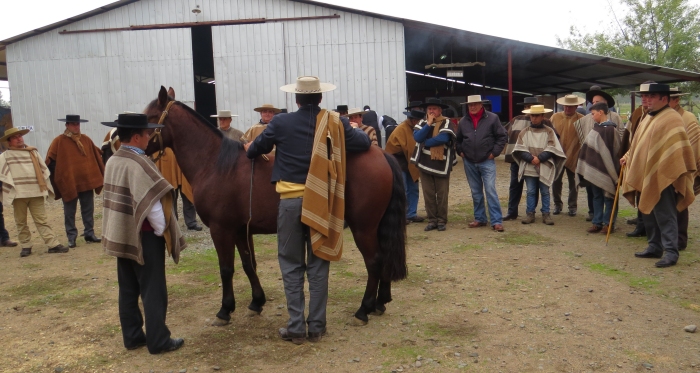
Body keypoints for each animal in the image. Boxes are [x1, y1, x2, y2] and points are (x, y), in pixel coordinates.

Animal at [146, 85, 410, 324]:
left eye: (149, 117)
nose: (134, 144)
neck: (216, 164)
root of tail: (381, 154)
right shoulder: (240, 229)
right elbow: (248, 264)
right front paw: (256, 301)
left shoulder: (221, 229)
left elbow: (226, 269)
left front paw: (225, 309)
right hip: (376, 226)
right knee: (385, 256)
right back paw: (380, 302)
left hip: (363, 227)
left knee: (374, 260)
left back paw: (364, 309)